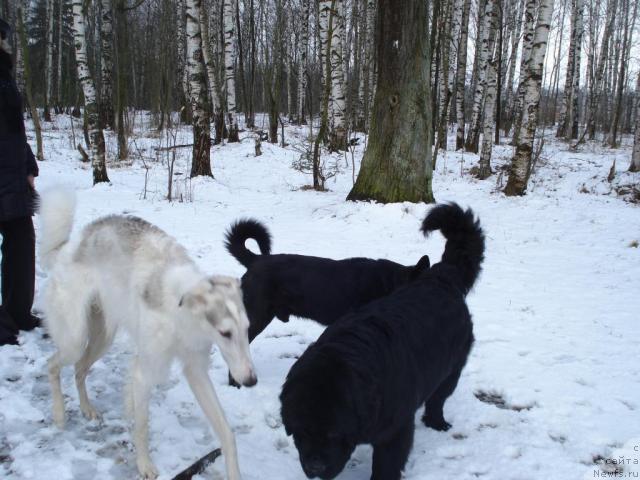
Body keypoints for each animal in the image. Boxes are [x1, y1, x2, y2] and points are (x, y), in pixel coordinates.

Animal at [38, 188, 255, 480]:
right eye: (225, 333)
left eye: (247, 329)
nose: (251, 380)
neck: (180, 311)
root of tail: (69, 245)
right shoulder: (145, 371)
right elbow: (141, 426)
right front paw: (144, 465)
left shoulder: (196, 369)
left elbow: (227, 433)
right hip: (75, 338)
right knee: (52, 365)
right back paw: (60, 414)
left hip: (102, 337)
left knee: (79, 370)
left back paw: (87, 409)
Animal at [280, 203, 484, 480]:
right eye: (300, 432)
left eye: (332, 434)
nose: (315, 468)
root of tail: (439, 278)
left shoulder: (395, 430)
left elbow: (387, 463)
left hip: (452, 367)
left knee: (438, 398)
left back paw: (437, 422)